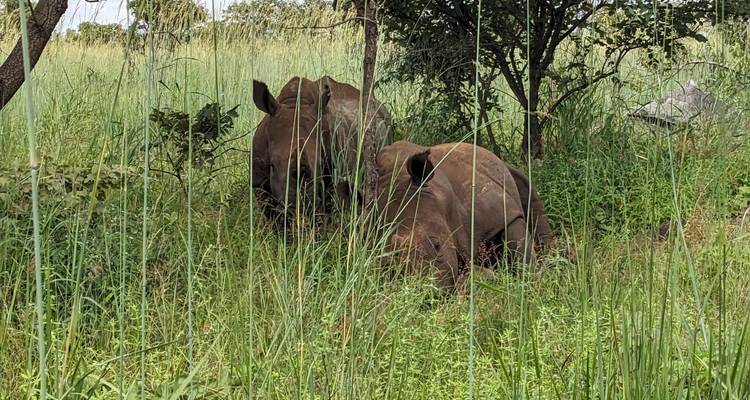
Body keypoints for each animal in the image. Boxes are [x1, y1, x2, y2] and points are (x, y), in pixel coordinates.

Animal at [340, 140, 555, 289]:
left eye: (436, 244)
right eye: (385, 263)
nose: (427, 292)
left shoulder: (502, 212)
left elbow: (520, 248)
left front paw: (533, 282)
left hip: (504, 168)